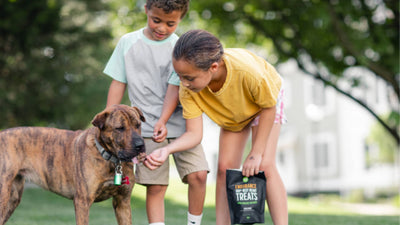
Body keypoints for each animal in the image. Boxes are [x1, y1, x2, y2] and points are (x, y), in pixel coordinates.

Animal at [0, 105, 146, 225]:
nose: (140, 145)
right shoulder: (82, 202)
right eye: (119, 128)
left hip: (12, 198)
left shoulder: (123, 203)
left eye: (138, 125)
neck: (111, 160)